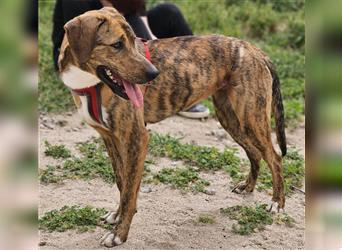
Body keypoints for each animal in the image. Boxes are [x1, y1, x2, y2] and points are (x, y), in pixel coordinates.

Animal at [58, 6, 286, 247]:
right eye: (117, 45)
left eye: (132, 40)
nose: (154, 74)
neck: (89, 83)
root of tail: (255, 50)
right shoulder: (110, 139)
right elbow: (122, 183)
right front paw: (118, 216)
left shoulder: (137, 139)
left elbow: (129, 191)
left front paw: (119, 234)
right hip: (232, 120)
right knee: (255, 153)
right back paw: (248, 187)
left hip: (251, 117)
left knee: (274, 157)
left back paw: (277, 203)